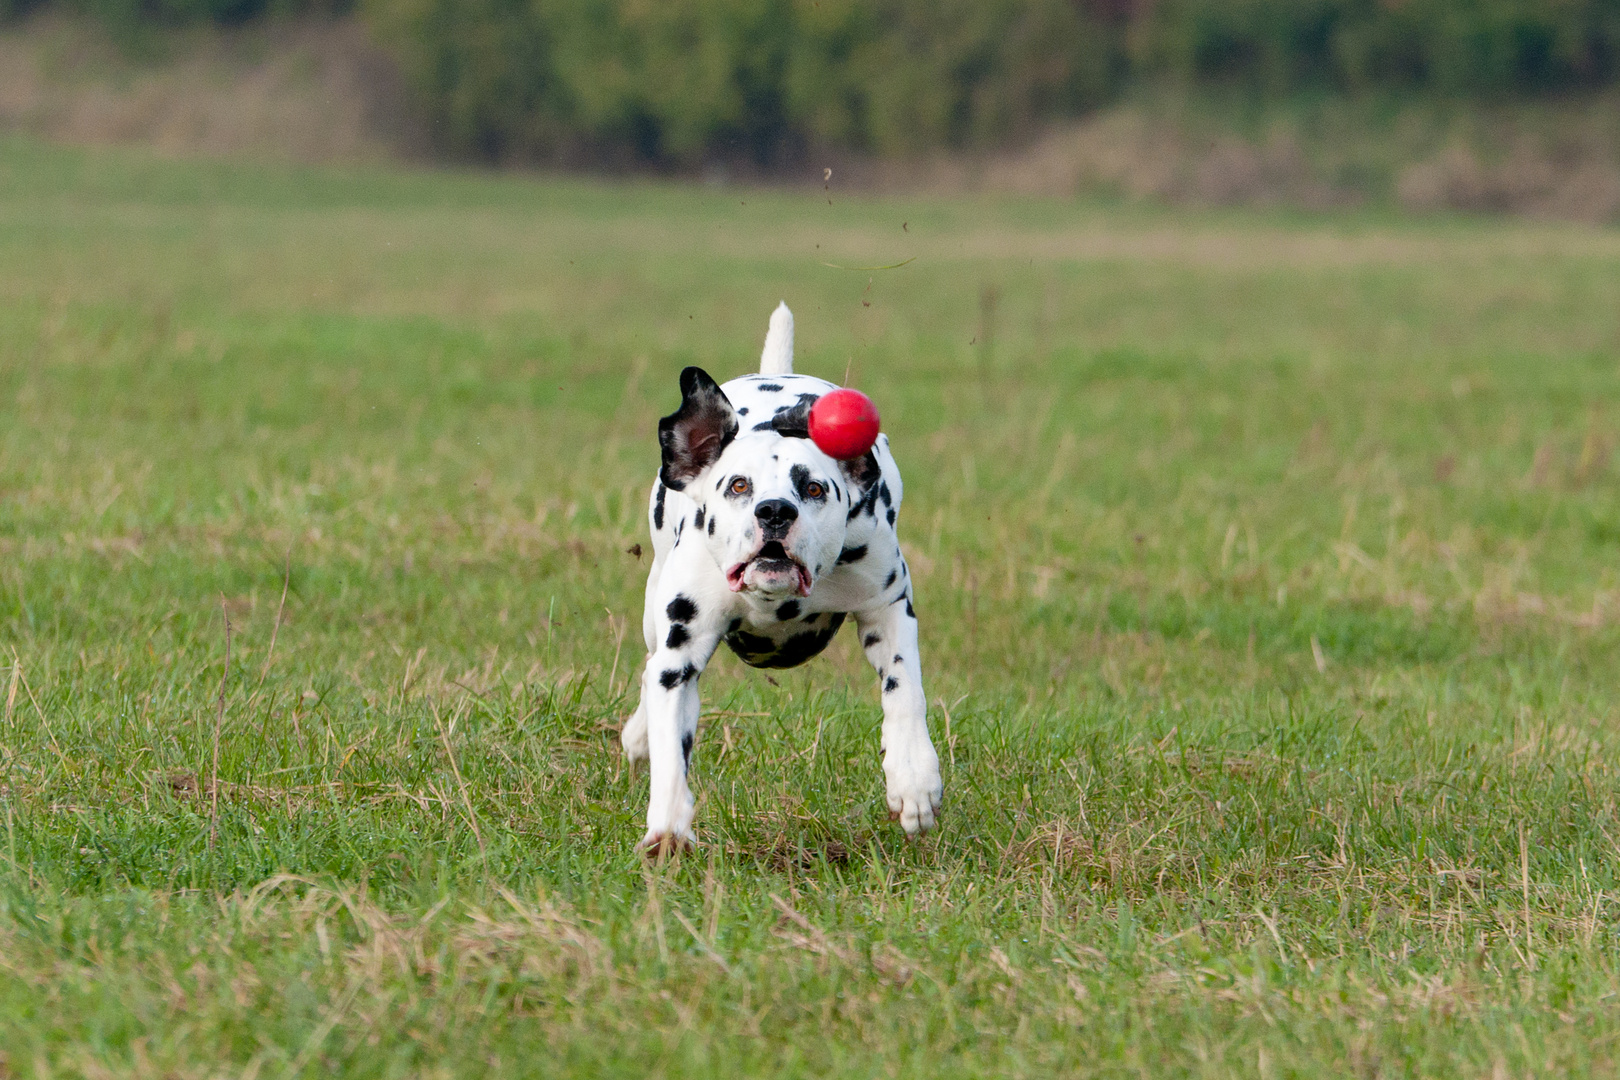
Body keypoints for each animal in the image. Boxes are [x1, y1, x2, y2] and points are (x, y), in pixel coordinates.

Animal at [622, 304, 946, 854]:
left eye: (814, 488)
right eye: (738, 486)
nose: (775, 511)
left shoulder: (888, 606)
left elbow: (906, 689)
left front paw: (913, 778)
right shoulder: (680, 655)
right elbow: (670, 742)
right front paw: (667, 826)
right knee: (649, 672)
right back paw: (639, 735)